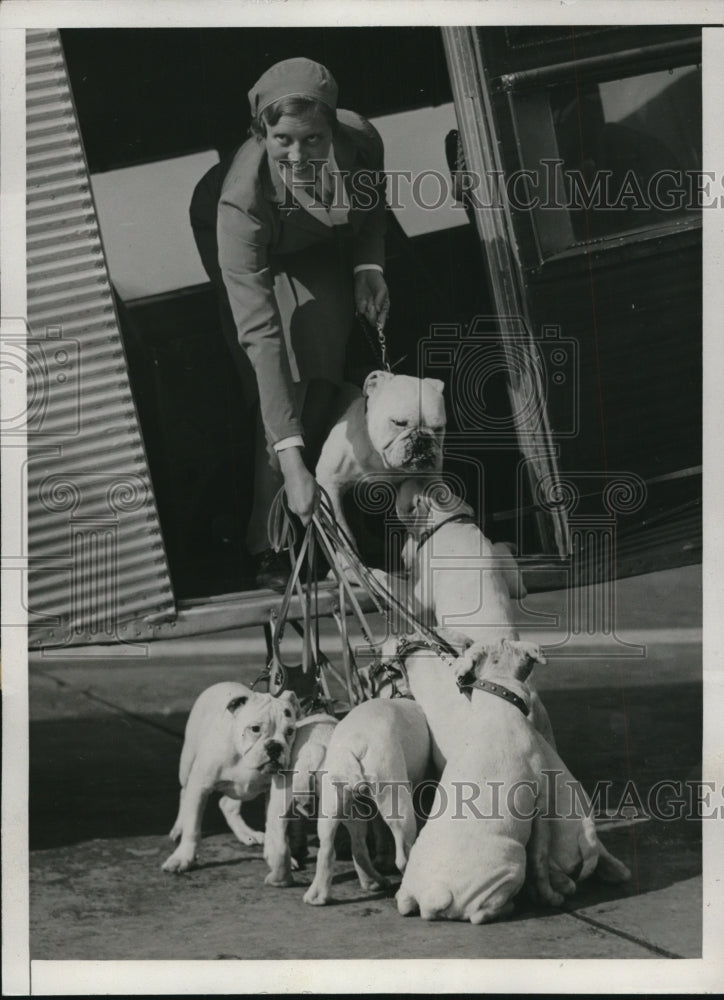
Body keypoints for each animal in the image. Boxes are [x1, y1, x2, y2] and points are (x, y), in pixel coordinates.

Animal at [163, 684, 298, 872]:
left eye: (290, 731)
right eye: (255, 729)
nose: (275, 746)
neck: (242, 756)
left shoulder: (274, 794)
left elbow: (274, 828)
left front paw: (278, 858)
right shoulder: (200, 787)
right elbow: (193, 827)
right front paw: (183, 857)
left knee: (227, 805)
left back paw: (247, 834)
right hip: (187, 763)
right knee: (184, 792)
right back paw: (179, 827)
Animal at [316, 372, 446, 552]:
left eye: (439, 429)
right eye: (398, 423)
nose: (423, 439)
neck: (379, 458)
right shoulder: (329, 485)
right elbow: (342, 533)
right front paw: (348, 557)